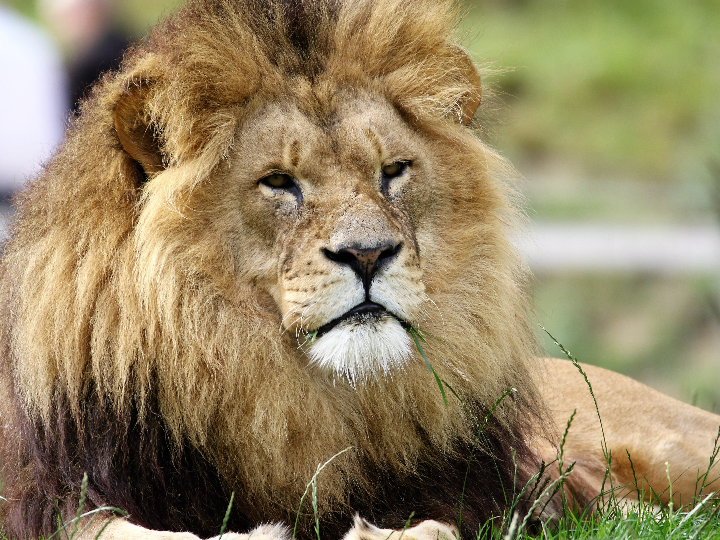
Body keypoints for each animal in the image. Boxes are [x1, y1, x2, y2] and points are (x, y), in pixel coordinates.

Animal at [0, 0, 718, 539]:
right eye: (279, 182)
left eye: (392, 171)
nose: (369, 254)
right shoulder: (54, 493)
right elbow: (117, 529)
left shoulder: (485, 492)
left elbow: (440, 524)